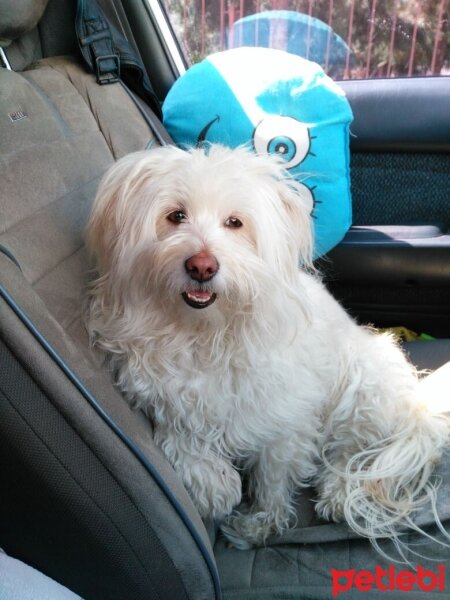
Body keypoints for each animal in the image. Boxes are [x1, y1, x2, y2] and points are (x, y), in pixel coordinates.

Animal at [87, 143, 450, 552]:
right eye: (176, 215)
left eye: (235, 222)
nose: (201, 266)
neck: (205, 332)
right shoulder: (163, 392)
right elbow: (178, 435)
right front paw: (216, 485)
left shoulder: (285, 416)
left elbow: (273, 476)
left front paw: (259, 523)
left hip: (364, 386)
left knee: (354, 450)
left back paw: (340, 490)